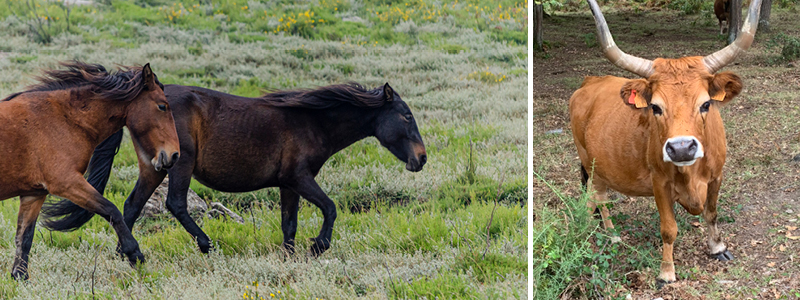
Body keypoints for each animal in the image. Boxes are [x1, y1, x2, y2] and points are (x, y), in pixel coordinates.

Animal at [1, 61, 180, 278]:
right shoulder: (67, 183)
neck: (63, 119)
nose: (174, 155)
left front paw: (20, 277)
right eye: (162, 106)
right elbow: (111, 210)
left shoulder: (34, 194)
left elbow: (24, 238)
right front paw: (134, 254)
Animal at [42, 82, 432, 255]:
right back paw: (205, 245)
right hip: (180, 163)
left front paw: (290, 255)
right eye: (406, 115)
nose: (422, 158)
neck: (311, 122)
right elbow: (331, 208)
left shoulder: (288, 184)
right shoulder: (299, 177)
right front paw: (319, 246)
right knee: (175, 204)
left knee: (131, 206)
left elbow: (289, 224)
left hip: (154, 167)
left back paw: (126, 253)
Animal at [568, 0, 764, 288]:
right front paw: (666, 271)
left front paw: (717, 248)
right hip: (589, 163)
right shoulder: (659, 182)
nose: (681, 148)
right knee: (600, 199)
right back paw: (611, 235)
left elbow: (712, 212)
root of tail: (590, 81)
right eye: (655, 107)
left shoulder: (717, 176)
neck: (692, 174)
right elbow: (669, 229)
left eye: (706, 103)